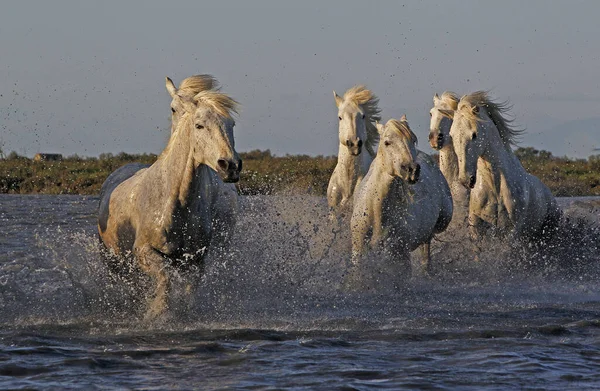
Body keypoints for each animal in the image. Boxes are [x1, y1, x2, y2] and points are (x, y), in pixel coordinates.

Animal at [98, 75, 241, 320]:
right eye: (199, 125)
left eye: (231, 125)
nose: (230, 166)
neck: (174, 203)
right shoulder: (144, 252)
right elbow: (164, 281)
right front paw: (156, 313)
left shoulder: (194, 259)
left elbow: (188, 291)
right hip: (117, 263)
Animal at [350, 115, 452, 278]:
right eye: (387, 142)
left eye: (413, 140)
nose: (412, 170)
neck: (377, 212)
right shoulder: (359, 252)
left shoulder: (400, 257)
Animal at [442, 92, 560, 243]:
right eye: (451, 135)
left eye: (474, 134)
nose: (466, 179)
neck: (495, 186)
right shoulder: (476, 225)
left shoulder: (512, 230)